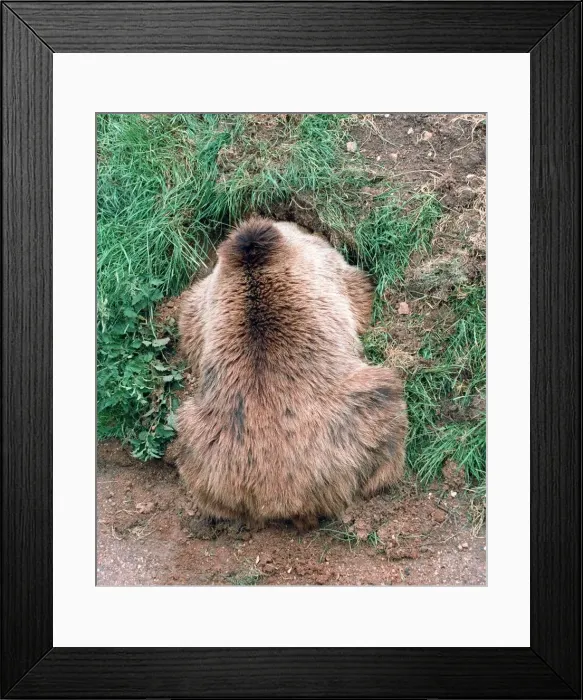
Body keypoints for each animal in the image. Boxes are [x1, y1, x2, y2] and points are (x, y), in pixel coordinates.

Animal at [175, 217, 407, 531]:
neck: (254, 262)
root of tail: (282, 497)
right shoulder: (323, 265)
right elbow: (354, 284)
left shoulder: (206, 296)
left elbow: (187, 318)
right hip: (357, 410)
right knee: (386, 402)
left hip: (200, 441)